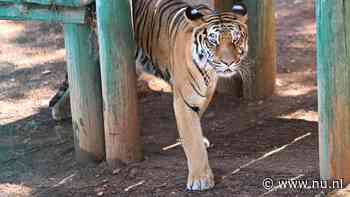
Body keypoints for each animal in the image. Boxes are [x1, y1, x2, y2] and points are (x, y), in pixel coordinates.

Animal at [51, 0, 249, 191]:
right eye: (213, 42)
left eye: (236, 40)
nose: (228, 62)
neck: (208, 70)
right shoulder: (184, 100)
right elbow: (193, 142)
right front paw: (200, 179)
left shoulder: (205, 94)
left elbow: (195, 123)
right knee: (79, 77)